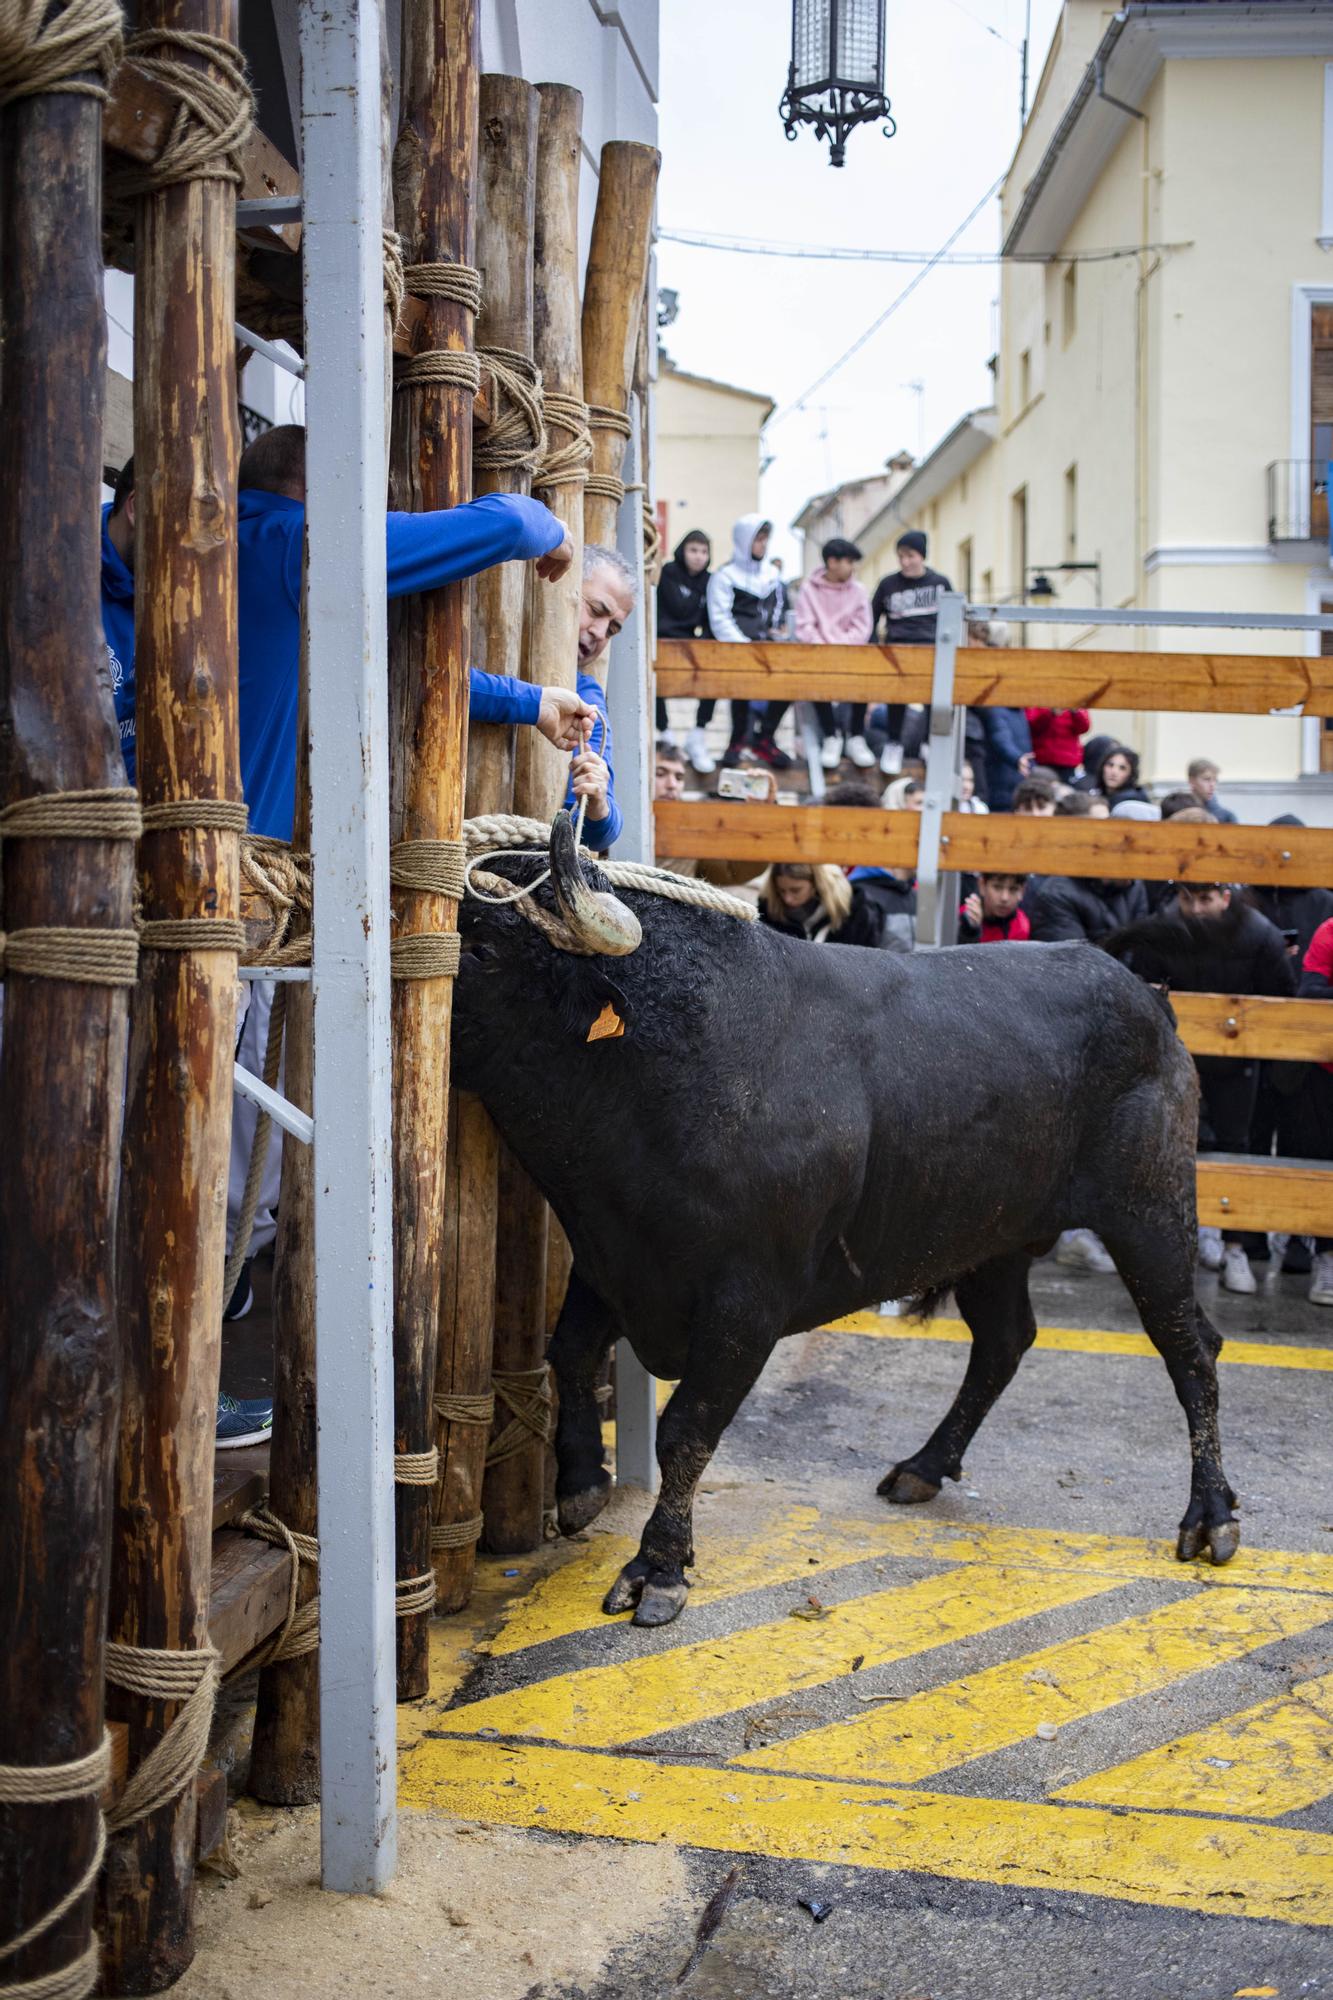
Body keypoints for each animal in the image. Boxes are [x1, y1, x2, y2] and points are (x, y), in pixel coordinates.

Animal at [456, 816, 1232, 1624]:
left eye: (483, 948)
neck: (672, 1059)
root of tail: (1145, 997)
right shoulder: (611, 1260)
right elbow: (569, 1353)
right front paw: (580, 1487)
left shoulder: (745, 1306)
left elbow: (686, 1428)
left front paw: (658, 1567)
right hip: (994, 1238)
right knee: (1003, 1342)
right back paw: (924, 1466)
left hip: (1150, 1217)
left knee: (1190, 1350)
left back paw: (1210, 1517)